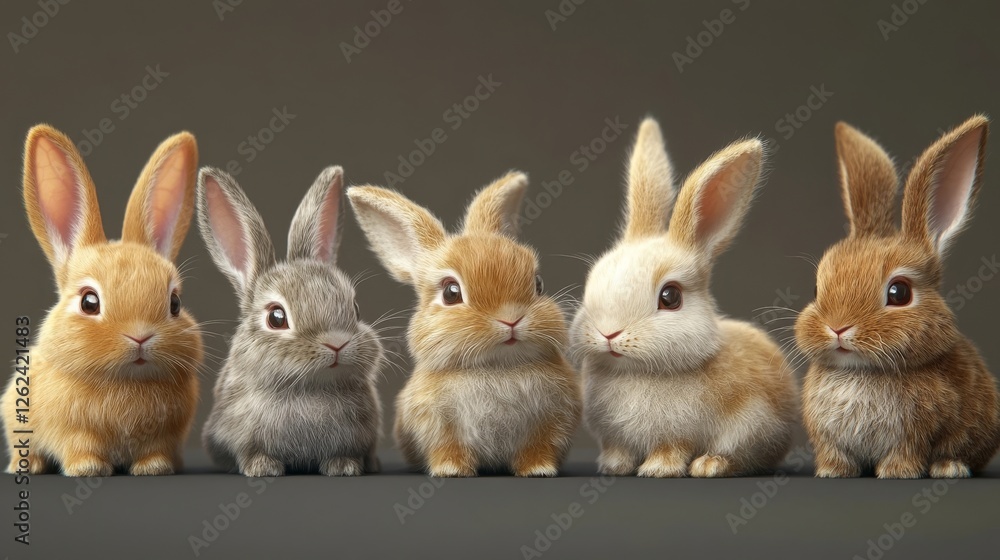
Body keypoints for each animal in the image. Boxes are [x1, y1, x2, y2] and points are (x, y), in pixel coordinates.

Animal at [2, 125, 203, 476]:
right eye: (89, 302)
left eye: (175, 303)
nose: (140, 336)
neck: (125, 381)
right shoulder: (74, 432)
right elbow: (82, 447)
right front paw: (88, 469)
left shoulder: (163, 436)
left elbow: (154, 451)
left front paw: (154, 468)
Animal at [198, 166, 384, 477]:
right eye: (276, 317)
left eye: (356, 309)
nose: (337, 343)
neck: (308, 388)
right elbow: (251, 453)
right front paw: (263, 468)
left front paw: (343, 467)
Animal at [347, 172, 582, 477]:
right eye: (451, 292)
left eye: (538, 284)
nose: (511, 318)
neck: (497, 366)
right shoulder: (438, 425)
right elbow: (448, 448)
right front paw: (451, 470)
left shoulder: (552, 421)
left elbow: (538, 448)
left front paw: (538, 469)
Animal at [570, 117, 797, 478]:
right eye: (594, 279)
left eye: (670, 297)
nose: (608, 333)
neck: (636, 371)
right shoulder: (614, 437)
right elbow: (618, 449)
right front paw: (614, 466)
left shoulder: (679, 435)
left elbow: (671, 448)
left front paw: (657, 469)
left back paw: (710, 465)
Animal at [796, 116, 1000, 478]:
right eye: (817, 290)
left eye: (899, 292)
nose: (838, 328)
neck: (862, 371)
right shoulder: (828, 438)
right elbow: (835, 454)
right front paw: (832, 472)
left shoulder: (915, 434)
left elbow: (907, 451)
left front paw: (897, 473)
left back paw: (949, 468)